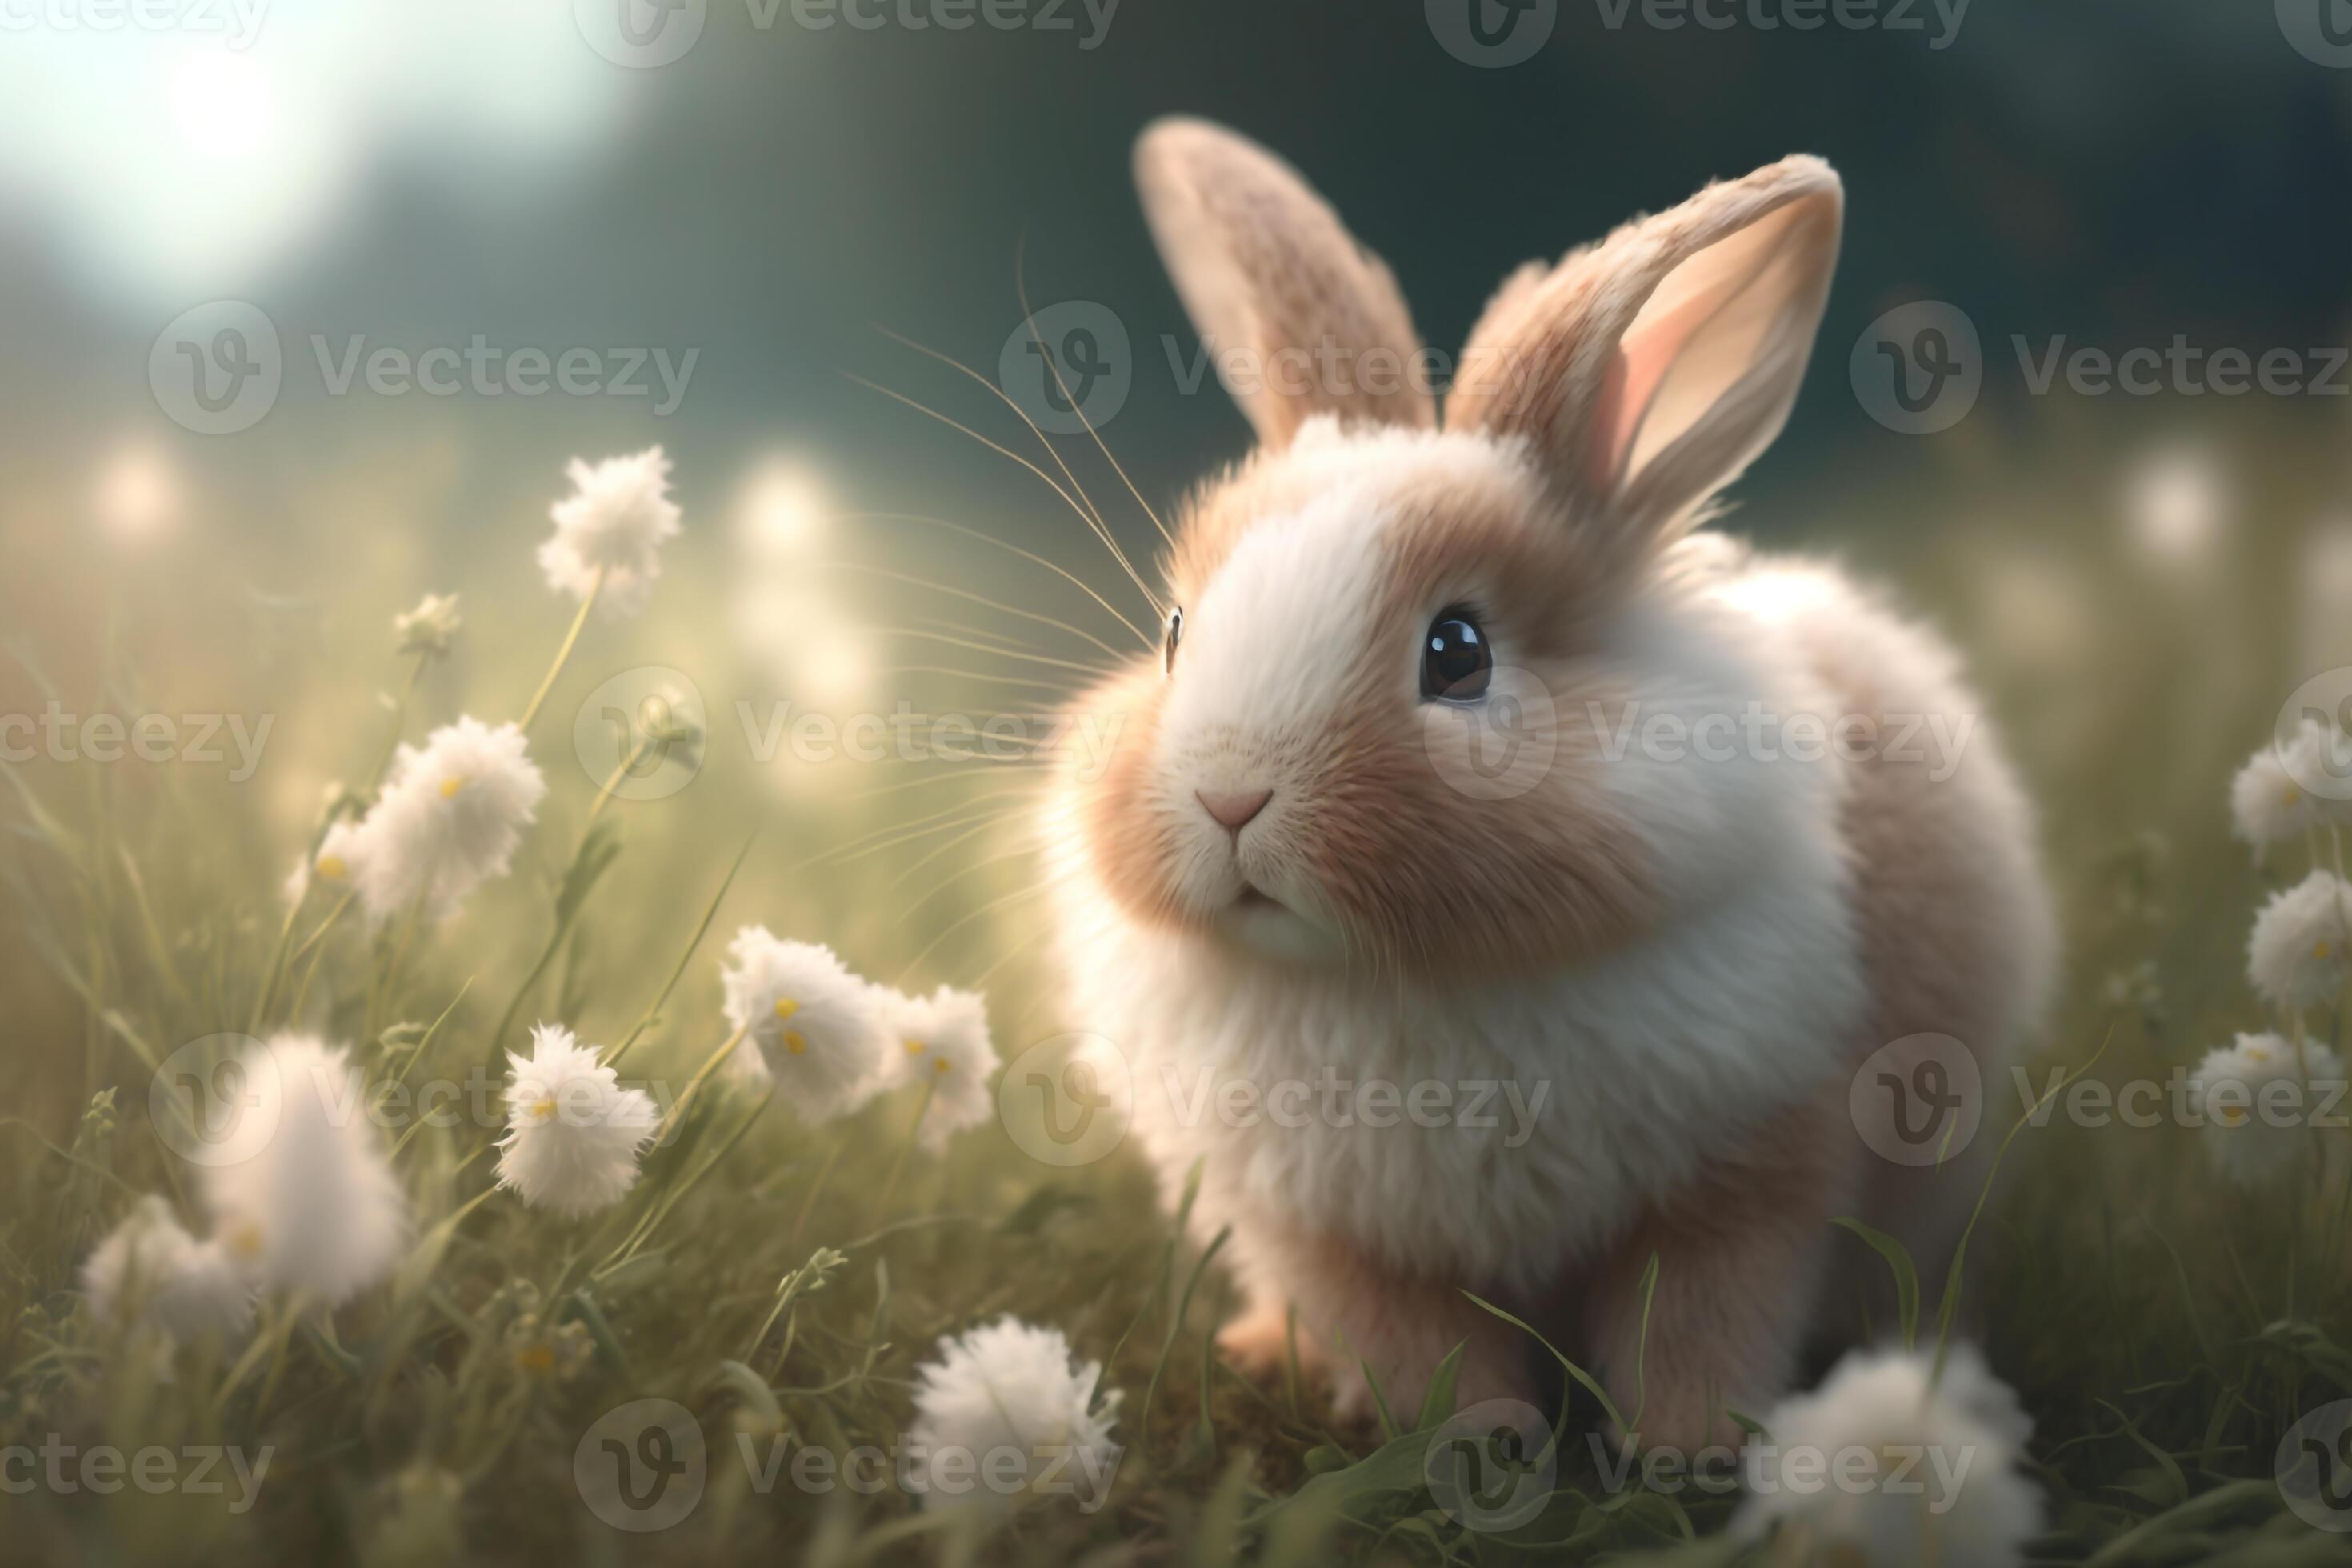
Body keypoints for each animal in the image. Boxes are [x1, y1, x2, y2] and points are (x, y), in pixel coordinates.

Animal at [1039, 117, 2055, 1455]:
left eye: (1458, 653)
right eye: (1172, 634)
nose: (1230, 801)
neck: (1400, 981)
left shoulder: (1754, 1173)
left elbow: (1699, 1320)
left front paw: (1689, 1451)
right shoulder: (1328, 1239)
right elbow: (1419, 1350)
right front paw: (1479, 1449)